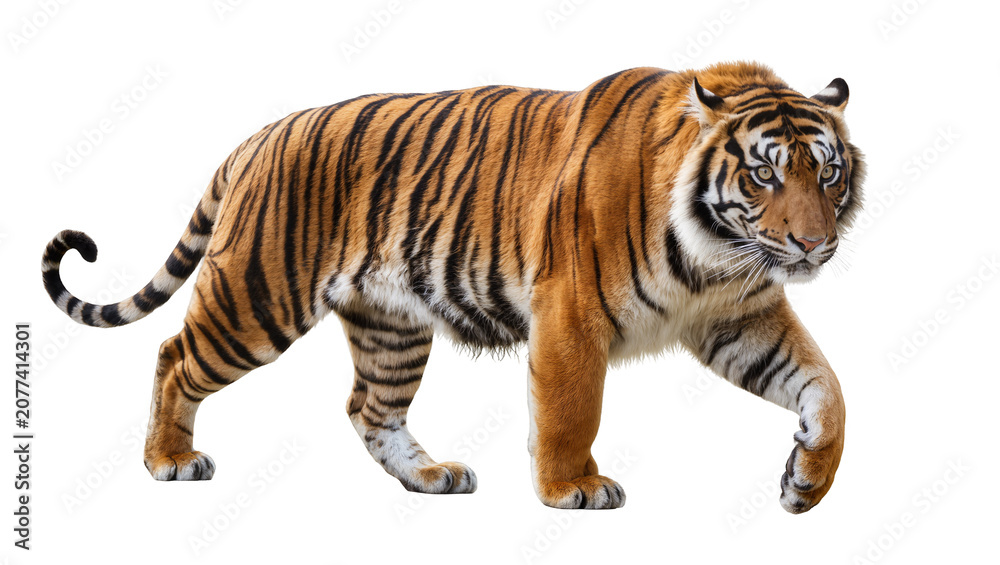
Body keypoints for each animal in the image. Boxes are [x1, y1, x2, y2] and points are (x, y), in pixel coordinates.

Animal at [41, 61, 864, 512]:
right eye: (764, 174)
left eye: (827, 172)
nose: (813, 243)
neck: (717, 257)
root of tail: (259, 136)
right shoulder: (571, 315)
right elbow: (572, 409)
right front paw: (572, 488)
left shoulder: (740, 317)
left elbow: (826, 388)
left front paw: (807, 483)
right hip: (257, 295)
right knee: (174, 354)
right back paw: (169, 460)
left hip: (390, 326)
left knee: (368, 407)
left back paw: (431, 476)